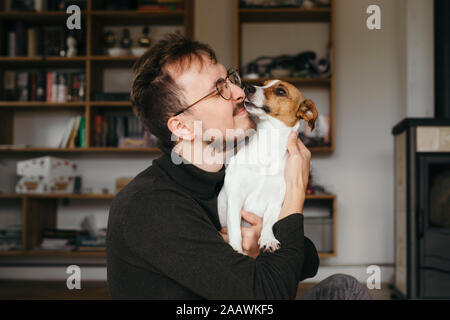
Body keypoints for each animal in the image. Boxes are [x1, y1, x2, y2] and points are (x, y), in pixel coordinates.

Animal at [217, 79, 316, 254]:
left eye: (281, 91)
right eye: (263, 83)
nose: (248, 87)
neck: (267, 149)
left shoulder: (275, 202)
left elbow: (268, 223)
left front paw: (268, 239)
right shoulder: (235, 197)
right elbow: (235, 229)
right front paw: (236, 248)